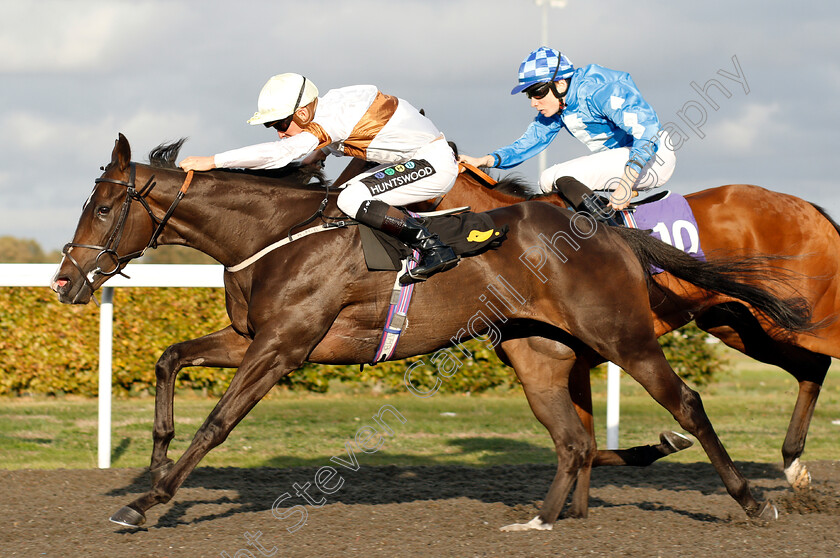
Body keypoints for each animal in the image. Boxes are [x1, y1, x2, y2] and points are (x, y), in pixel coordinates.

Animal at [430, 166, 836, 494]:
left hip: (808, 316)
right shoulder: (573, 362)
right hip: (744, 325)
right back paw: (794, 465)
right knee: (812, 367)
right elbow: (588, 445)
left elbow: (588, 445)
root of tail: (809, 208)